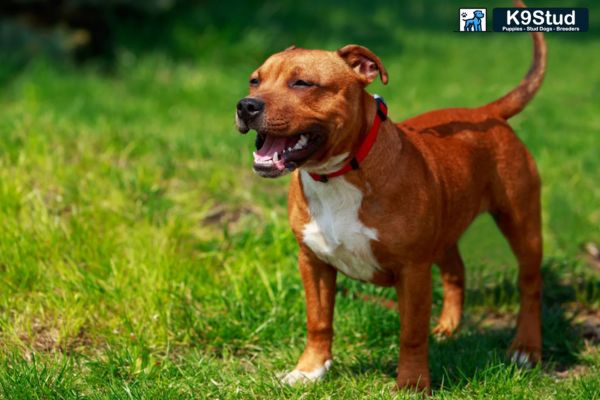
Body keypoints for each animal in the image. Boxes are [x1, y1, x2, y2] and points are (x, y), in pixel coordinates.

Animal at [234, 3, 544, 390]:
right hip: (447, 227)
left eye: (302, 83)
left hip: (521, 223)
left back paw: (526, 348)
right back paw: (448, 328)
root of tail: (486, 113)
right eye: (255, 80)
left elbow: (410, 333)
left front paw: (411, 384)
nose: (246, 105)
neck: (338, 174)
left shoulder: (412, 270)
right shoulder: (313, 262)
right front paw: (310, 370)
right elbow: (318, 321)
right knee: (456, 272)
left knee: (529, 285)